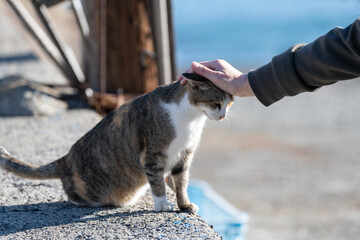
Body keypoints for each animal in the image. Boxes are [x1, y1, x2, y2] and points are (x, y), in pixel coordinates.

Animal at [0, 72, 233, 213]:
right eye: (216, 103)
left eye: (228, 103)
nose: (223, 116)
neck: (191, 118)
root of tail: (65, 159)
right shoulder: (152, 155)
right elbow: (158, 183)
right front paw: (162, 204)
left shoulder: (184, 155)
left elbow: (181, 182)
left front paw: (184, 204)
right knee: (77, 195)